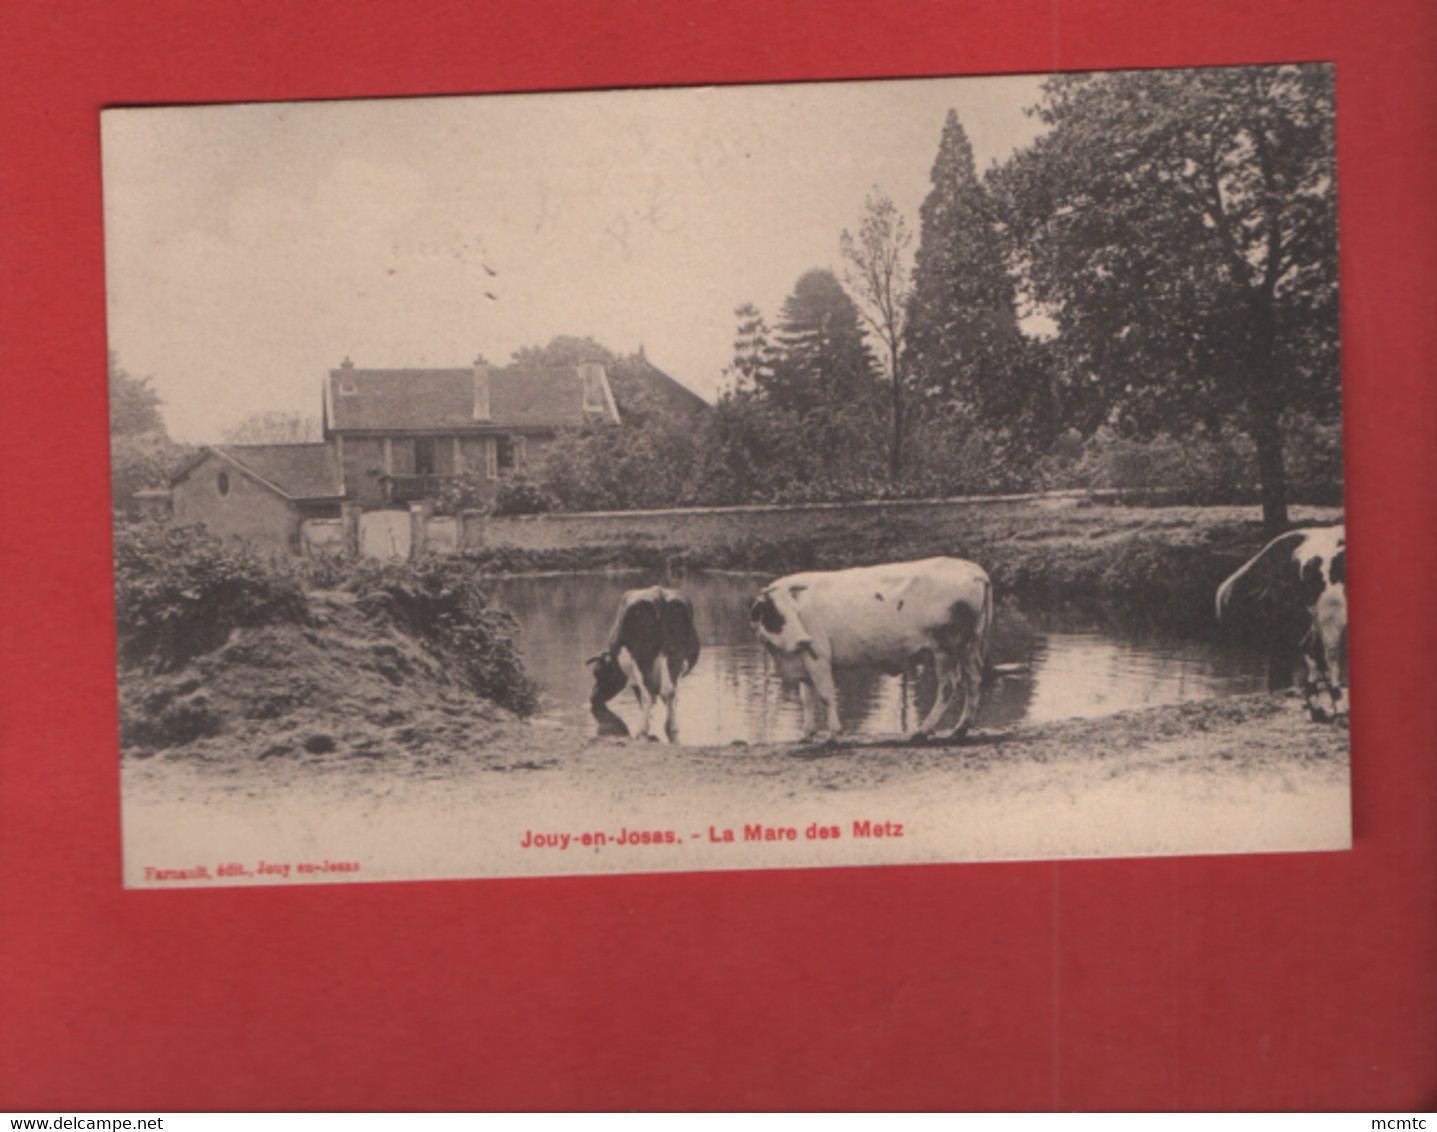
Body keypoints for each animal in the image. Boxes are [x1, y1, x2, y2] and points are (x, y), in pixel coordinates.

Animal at [586, 591, 704, 741]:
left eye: (598, 673)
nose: (593, 697)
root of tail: (659, 595)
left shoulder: (633, 677)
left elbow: (642, 696)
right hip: (676, 655)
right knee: (670, 692)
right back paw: (671, 728)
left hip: (640, 659)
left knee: (648, 694)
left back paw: (641, 731)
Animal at [747, 557, 994, 741]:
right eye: (776, 615)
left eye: (794, 611)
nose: (803, 641)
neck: (785, 657)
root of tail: (972, 569)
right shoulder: (804, 662)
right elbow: (806, 698)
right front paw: (806, 734)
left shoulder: (818, 656)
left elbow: (826, 695)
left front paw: (833, 733)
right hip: (971, 645)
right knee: (973, 681)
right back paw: (960, 728)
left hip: (946, 648)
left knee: (948, 686)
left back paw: (923, 730)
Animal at [1212, 522, 1345, 721]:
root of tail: (1310, 535)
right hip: (1330, 612)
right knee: (1330, 657)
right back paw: (1340, 710)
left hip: (1319, 616)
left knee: (1312, 651)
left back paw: (1319, 711)